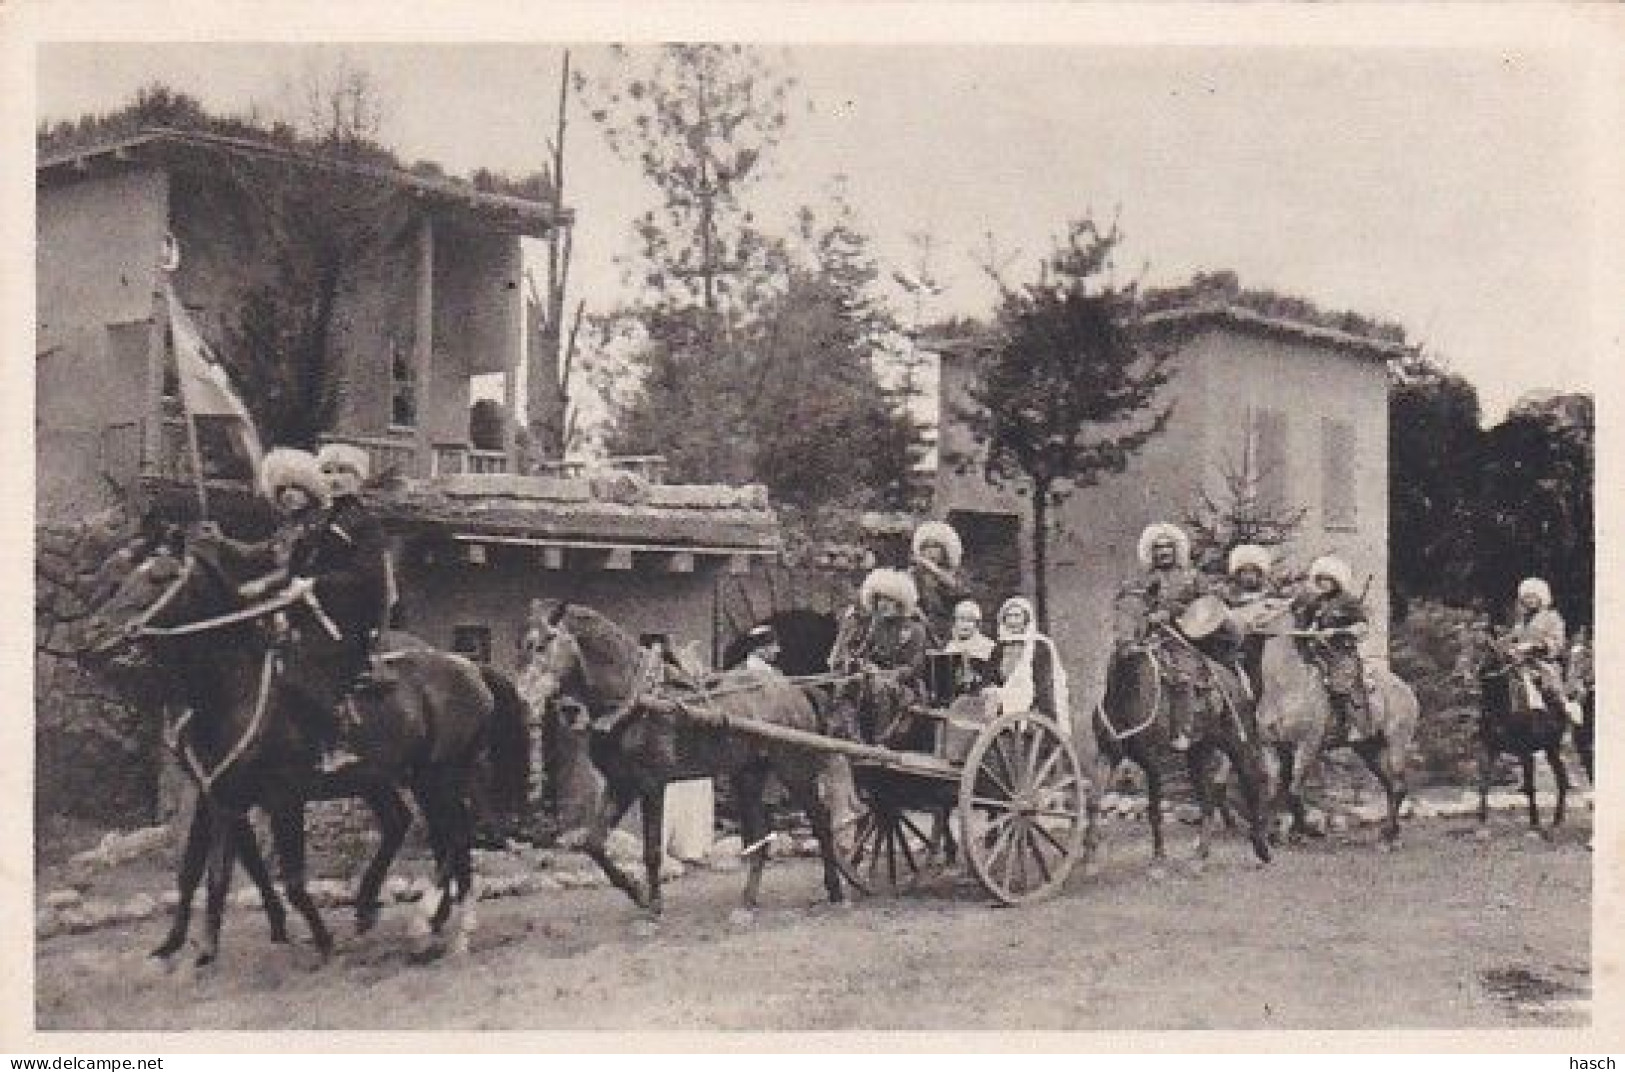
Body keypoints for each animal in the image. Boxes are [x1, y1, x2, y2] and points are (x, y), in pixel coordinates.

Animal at [82, 526, 526, 961]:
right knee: (425, 831)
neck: (232, 690)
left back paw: (430, 923)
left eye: (158, 577)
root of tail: (471, 667)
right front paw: (189, 944)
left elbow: (289, 879)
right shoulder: (219, 795)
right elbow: (207, 872)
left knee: (454, 837)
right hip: (399, 779)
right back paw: (417, 918)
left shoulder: (282, 798)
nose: (95, 633)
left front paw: (319, 939)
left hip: (437, 776)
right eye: (124, 576)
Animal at [520, 597, 851, 916]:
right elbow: (593, 844)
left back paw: (835, 890)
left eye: (544, 643)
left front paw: (654, 905)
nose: (524, 695)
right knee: (761, 836)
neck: (633, 699)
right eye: (522, 644)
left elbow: (653, 850)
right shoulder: (620, 783)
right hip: (749, 774)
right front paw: (636, 892)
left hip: (795, 770)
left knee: (821, 821)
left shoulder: (651, 785)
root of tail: (793, 690)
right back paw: (748, 899)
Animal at [1085, 591, 1274, 864]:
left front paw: (1159, 856)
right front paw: (1088, 853)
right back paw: (1202, 853)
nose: (1125, 643)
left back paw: (1261, 846)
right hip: (1198, 752)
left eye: (1143, 612)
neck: (1125, 698)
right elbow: (1093, 801)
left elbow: (1154, 808)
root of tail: (1235, 682)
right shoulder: (1108, 753)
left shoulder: (1152, 762)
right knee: (1207, 801)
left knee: (1253, 777)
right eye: (1116, 608)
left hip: (1240, 742)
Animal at [1456, 626, 1566, 838]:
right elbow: (1483, 784)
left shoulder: (1526, 752)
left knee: (1561, 778)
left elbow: (1530, 787)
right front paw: (1481, 823)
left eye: (1480, 647)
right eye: (1461, 645)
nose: (1459, 675)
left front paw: (1534, 824)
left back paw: (1556, 820)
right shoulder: (1489, 749)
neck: (1501, 707)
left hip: (1552, 746)